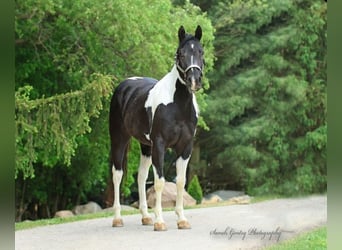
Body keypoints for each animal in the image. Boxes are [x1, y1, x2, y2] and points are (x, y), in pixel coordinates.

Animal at [109, 24, 204, 230]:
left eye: (201, 51)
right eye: (180, 53)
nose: (194, 81)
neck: (178, 105)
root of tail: (124, 85)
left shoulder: (185, 147)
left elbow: (180, 181)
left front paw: (181, 219)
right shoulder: (160, 145)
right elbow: (160, 182)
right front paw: (160, 222)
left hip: (146, 146)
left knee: (141, 177)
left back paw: (145, 217)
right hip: (119, 140)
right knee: (117, 174)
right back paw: (117, 218)